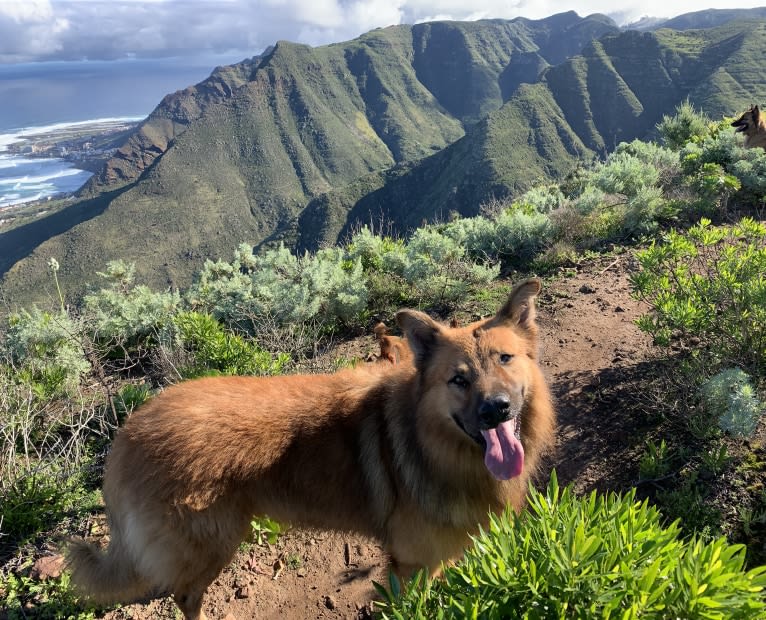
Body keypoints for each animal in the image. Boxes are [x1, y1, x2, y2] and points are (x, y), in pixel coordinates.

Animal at [67, 280, 560, 620]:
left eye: (505, 359)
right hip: (212, 542)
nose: (496, 409)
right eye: (458, 379)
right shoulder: (411, 564)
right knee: (185, 595)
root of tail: (129, 433)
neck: (433, 445)